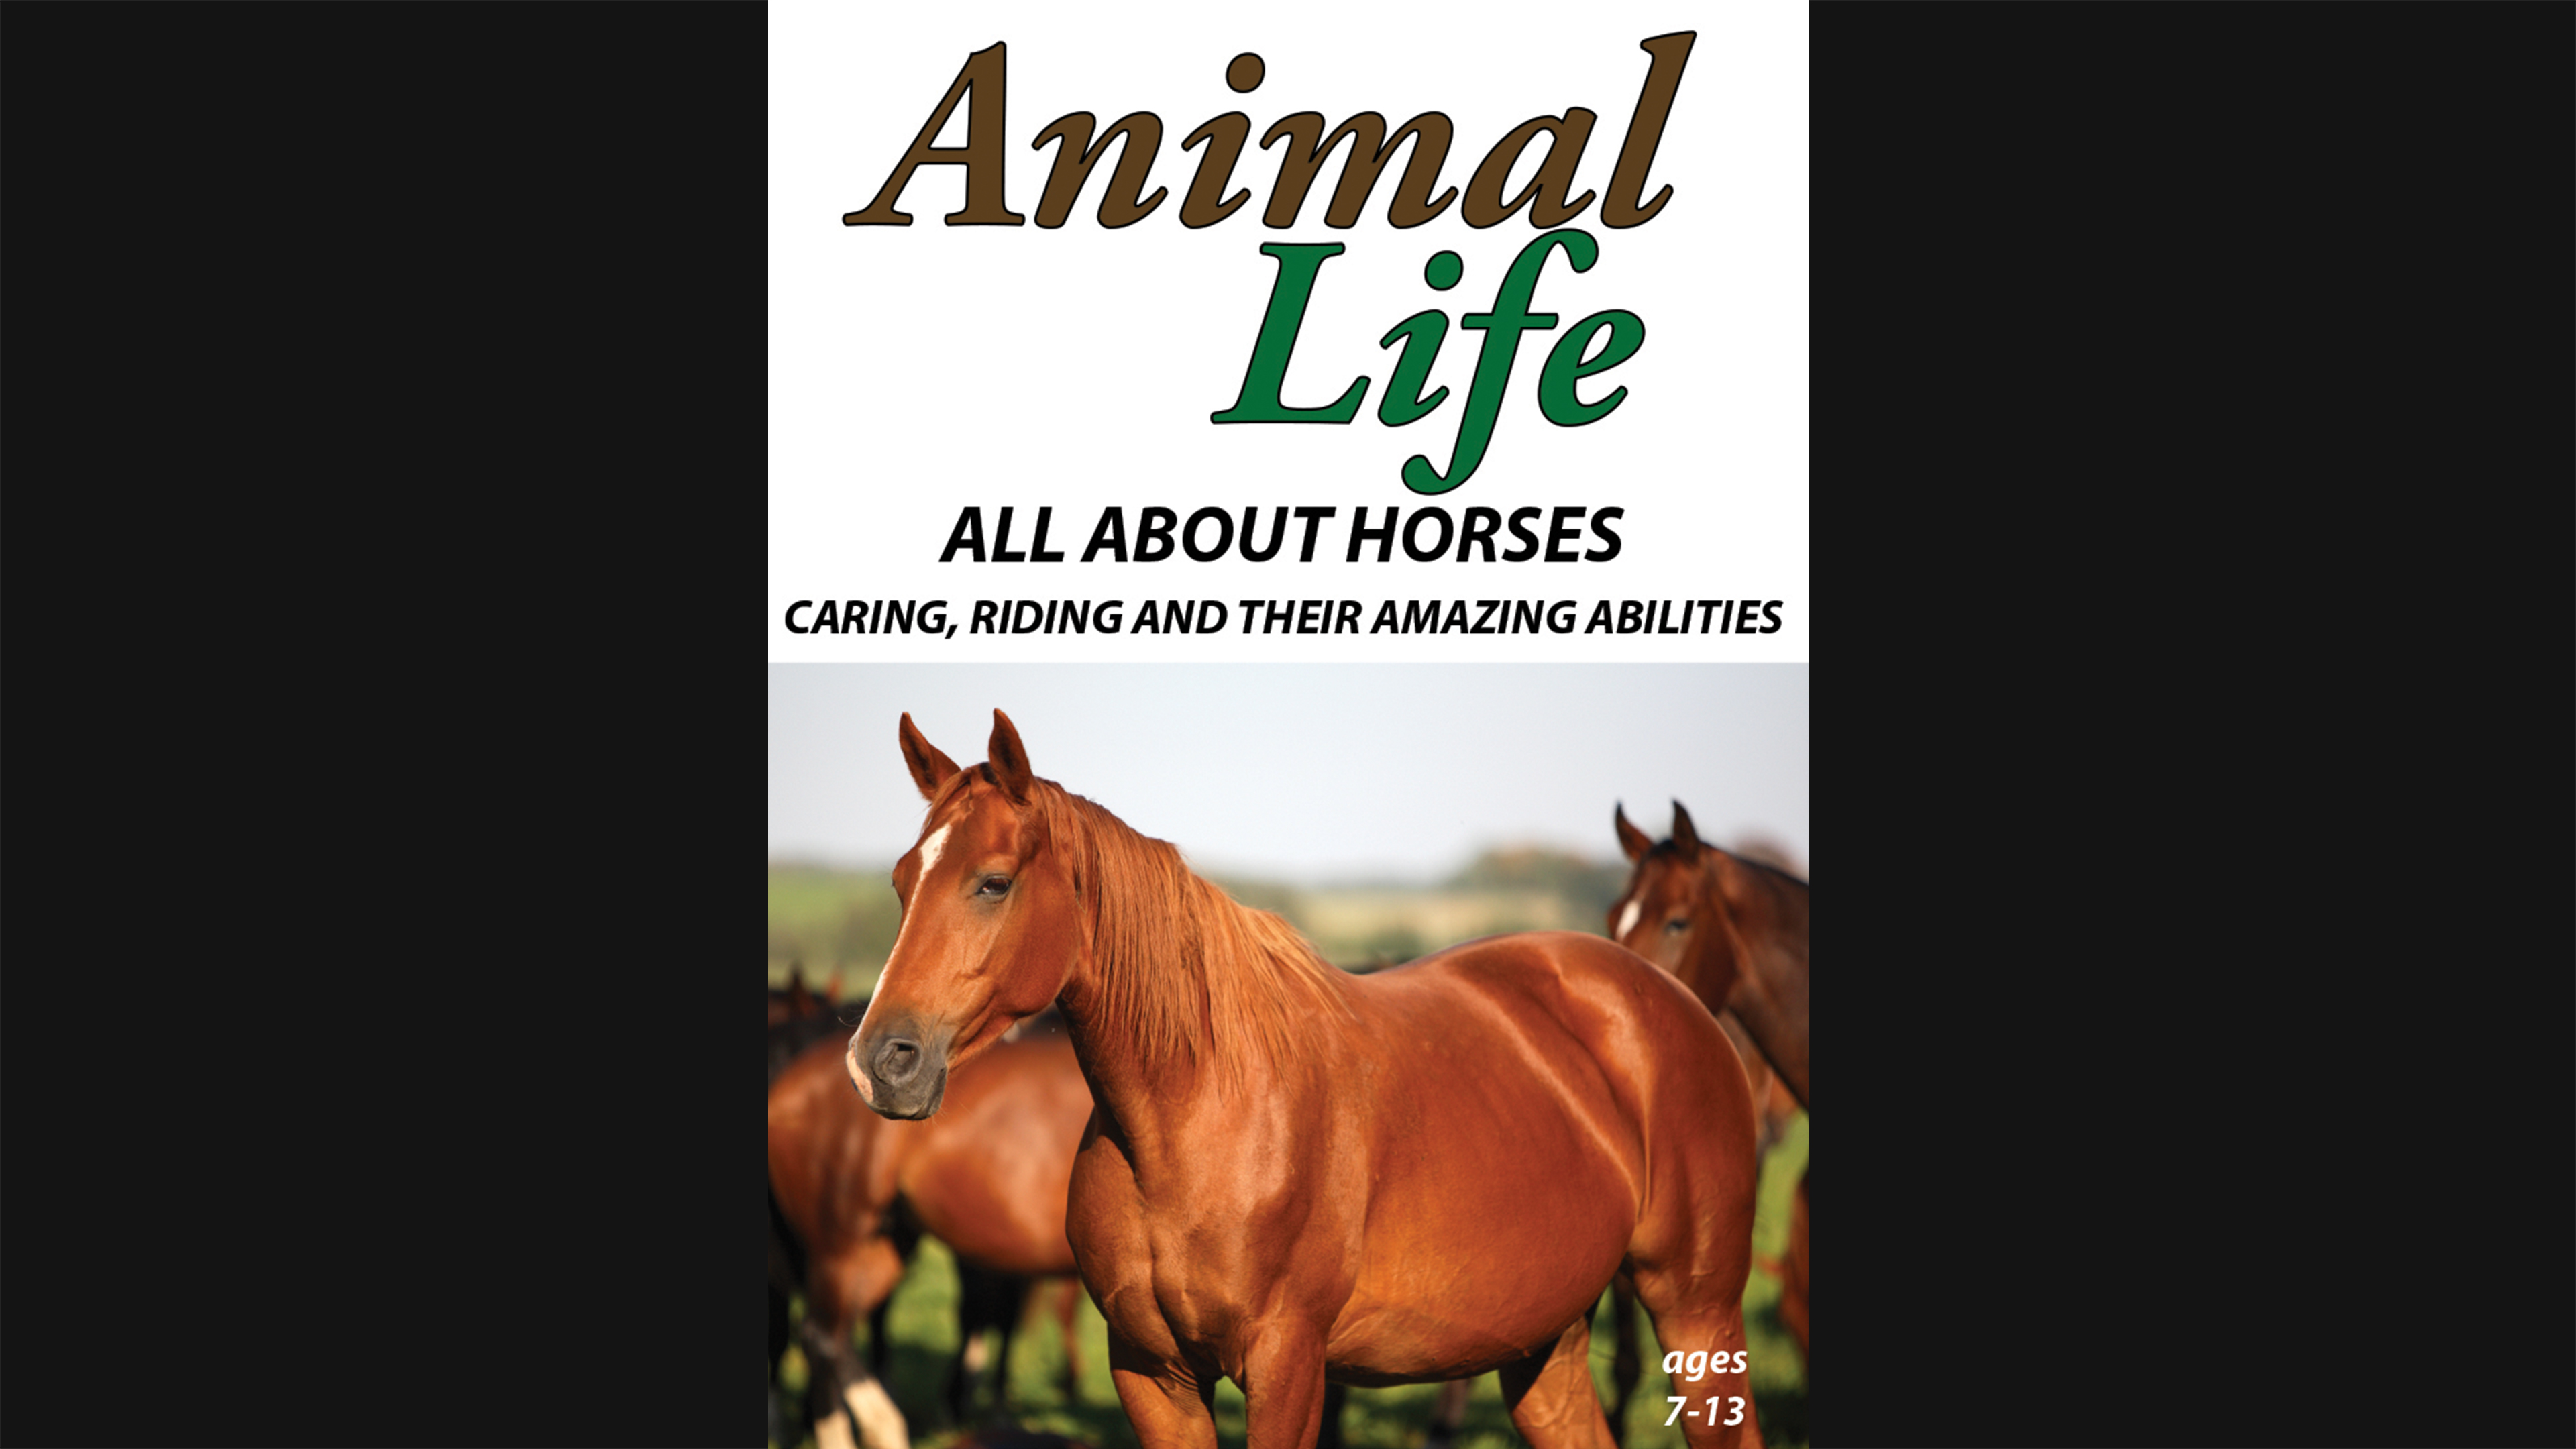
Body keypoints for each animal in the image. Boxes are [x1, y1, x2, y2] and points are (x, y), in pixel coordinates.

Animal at [848, 710, 1766, 1449]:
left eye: (993, 883)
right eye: (900, 881)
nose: (880, 1062)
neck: (1195, 1115)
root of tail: (1669, 1001)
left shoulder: (1286, 1366)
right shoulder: (1150, 1374)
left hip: (1698, 1319)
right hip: (1546, 1345)